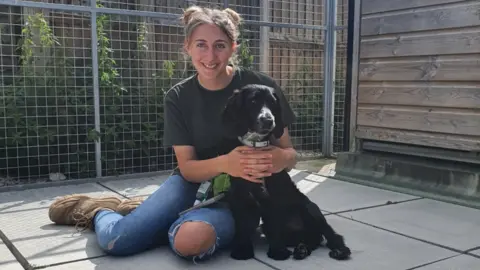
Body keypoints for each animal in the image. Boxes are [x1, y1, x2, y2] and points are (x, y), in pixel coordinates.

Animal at [216, 85, 350, 262]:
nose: (268, 120)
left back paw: (340, 250)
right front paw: (242, 250)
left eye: (273, 103)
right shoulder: (240, 195)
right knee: (312, 239)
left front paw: (278, 251)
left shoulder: (273, 197)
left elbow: (275, 225)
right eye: (253, 101)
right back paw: (301, 250)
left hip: (311, 208)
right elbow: (243, 225)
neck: (256, 147)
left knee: (330, 235)